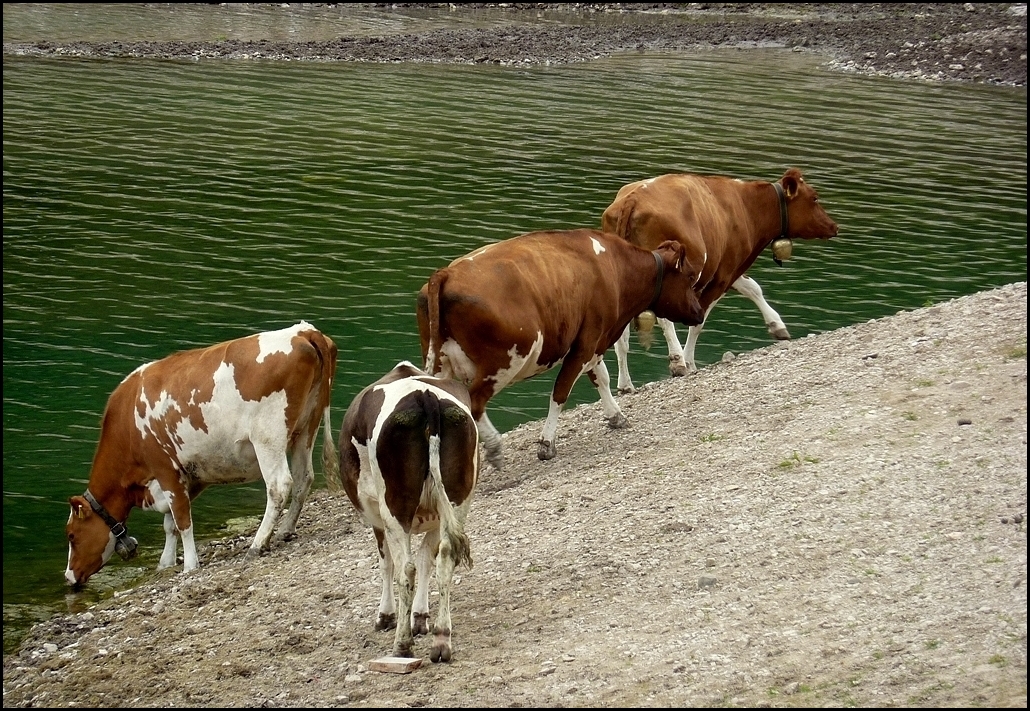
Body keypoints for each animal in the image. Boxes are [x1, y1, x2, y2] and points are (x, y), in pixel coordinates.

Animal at [65, 319, 337, 585]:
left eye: (71, 535)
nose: (68, 577)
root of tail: (303, 331)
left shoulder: (165, 468)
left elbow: (182, 520)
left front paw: (190, 565)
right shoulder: (192, 474)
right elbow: (171, 524)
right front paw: (166, 563)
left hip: (268, 437)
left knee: (279, 485)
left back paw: (258, 544)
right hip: (306, 428)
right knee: (304, 478)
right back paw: (284, 531)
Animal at [414, 228, 704, 469]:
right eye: (690, 277)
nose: (699, 312)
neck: (615, 268)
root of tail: (447, 273)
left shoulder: (593, 342)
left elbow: (601, 378)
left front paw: (616, 416)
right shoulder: (586, 343)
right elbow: (561, 392)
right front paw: (546, 444)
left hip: (440, 363)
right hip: (503, 362)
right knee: (473, 402)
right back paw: (494, 447)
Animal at [601, 166, 836, 389]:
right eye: (814, 198)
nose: (834, 226)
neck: (746, 205)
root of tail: (634, 197)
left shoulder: (728, 268)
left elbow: (753, 288)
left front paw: (777, 325)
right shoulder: (723, 275)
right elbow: (699, 322)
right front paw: (689, 362)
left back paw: (625, 384)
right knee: (664, 317)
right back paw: (677, 361)